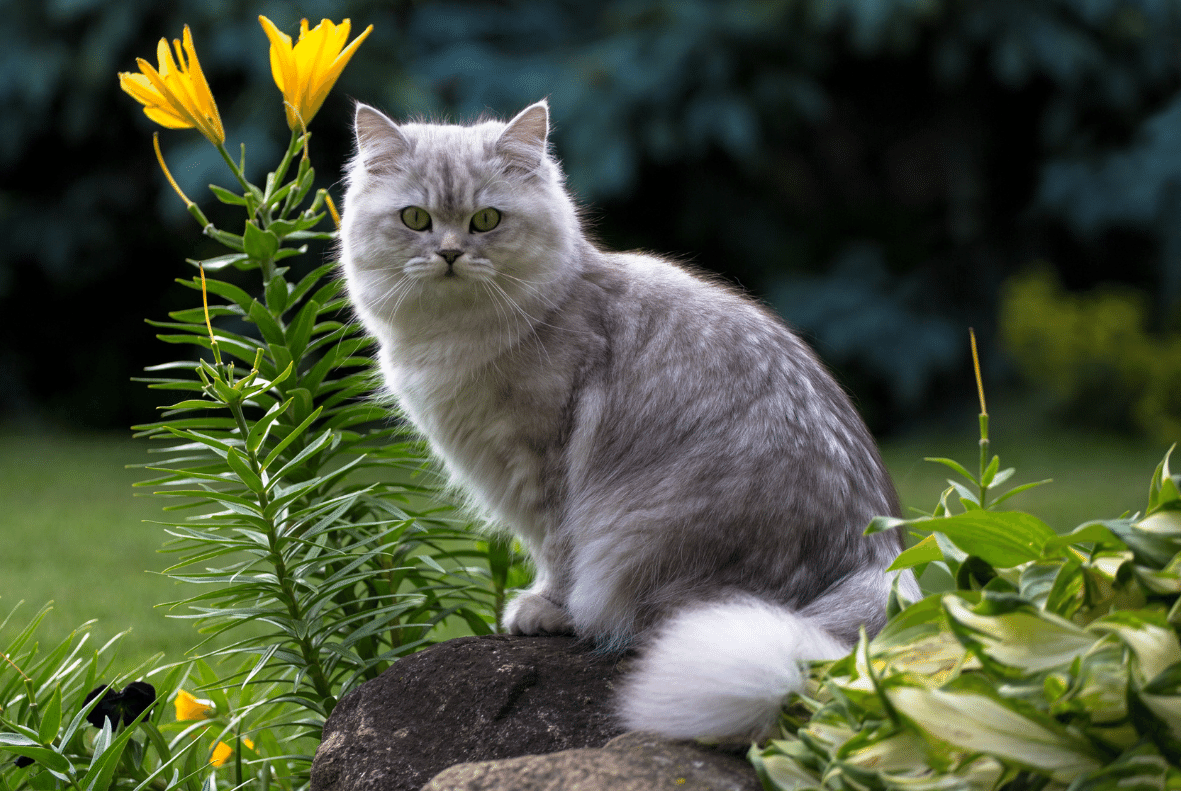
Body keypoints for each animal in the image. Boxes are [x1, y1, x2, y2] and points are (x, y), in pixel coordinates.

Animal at [337, 99, 916, 746]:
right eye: (415, 219)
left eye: (486, 220)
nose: (450, 253)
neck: (457, 335)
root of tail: (876, 558)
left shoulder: (543, 465)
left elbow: (556, 551)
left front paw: (545, 609)